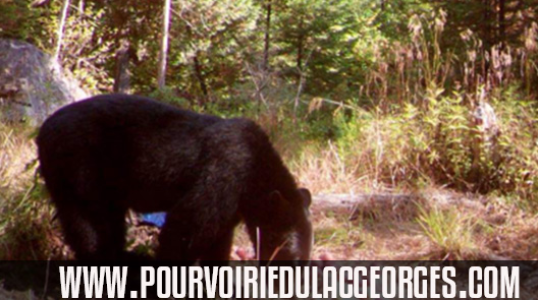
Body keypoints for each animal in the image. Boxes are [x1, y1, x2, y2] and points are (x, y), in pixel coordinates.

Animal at [35, 94, 312, 260]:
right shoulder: (225, 172)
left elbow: (218, 239)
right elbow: (186, 224)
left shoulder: (232, 206)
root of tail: (43, 128)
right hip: (80, 164)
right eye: (292, 256)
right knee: (91, 220)